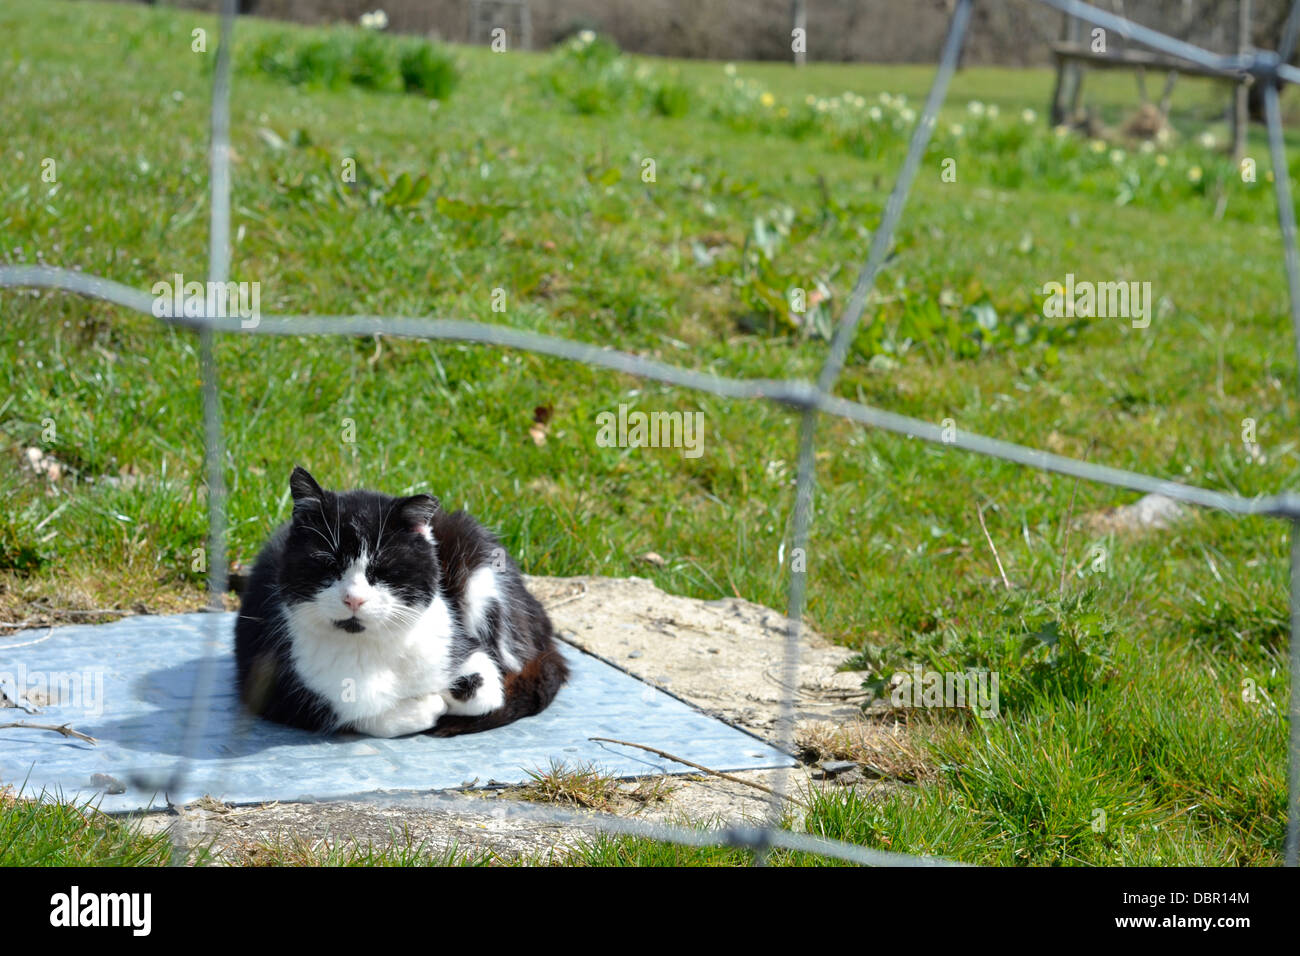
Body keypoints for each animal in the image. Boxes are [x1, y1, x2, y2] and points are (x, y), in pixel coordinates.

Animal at [235, 468, 569, 738]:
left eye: (382, 569)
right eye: (329, 565)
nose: (353, 598)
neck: (373, 647)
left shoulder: (459, 645)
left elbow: (484, 688)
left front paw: (448, 695)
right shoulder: (277, 691)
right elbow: (370, 716)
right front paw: (429, 705)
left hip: (482, 572)